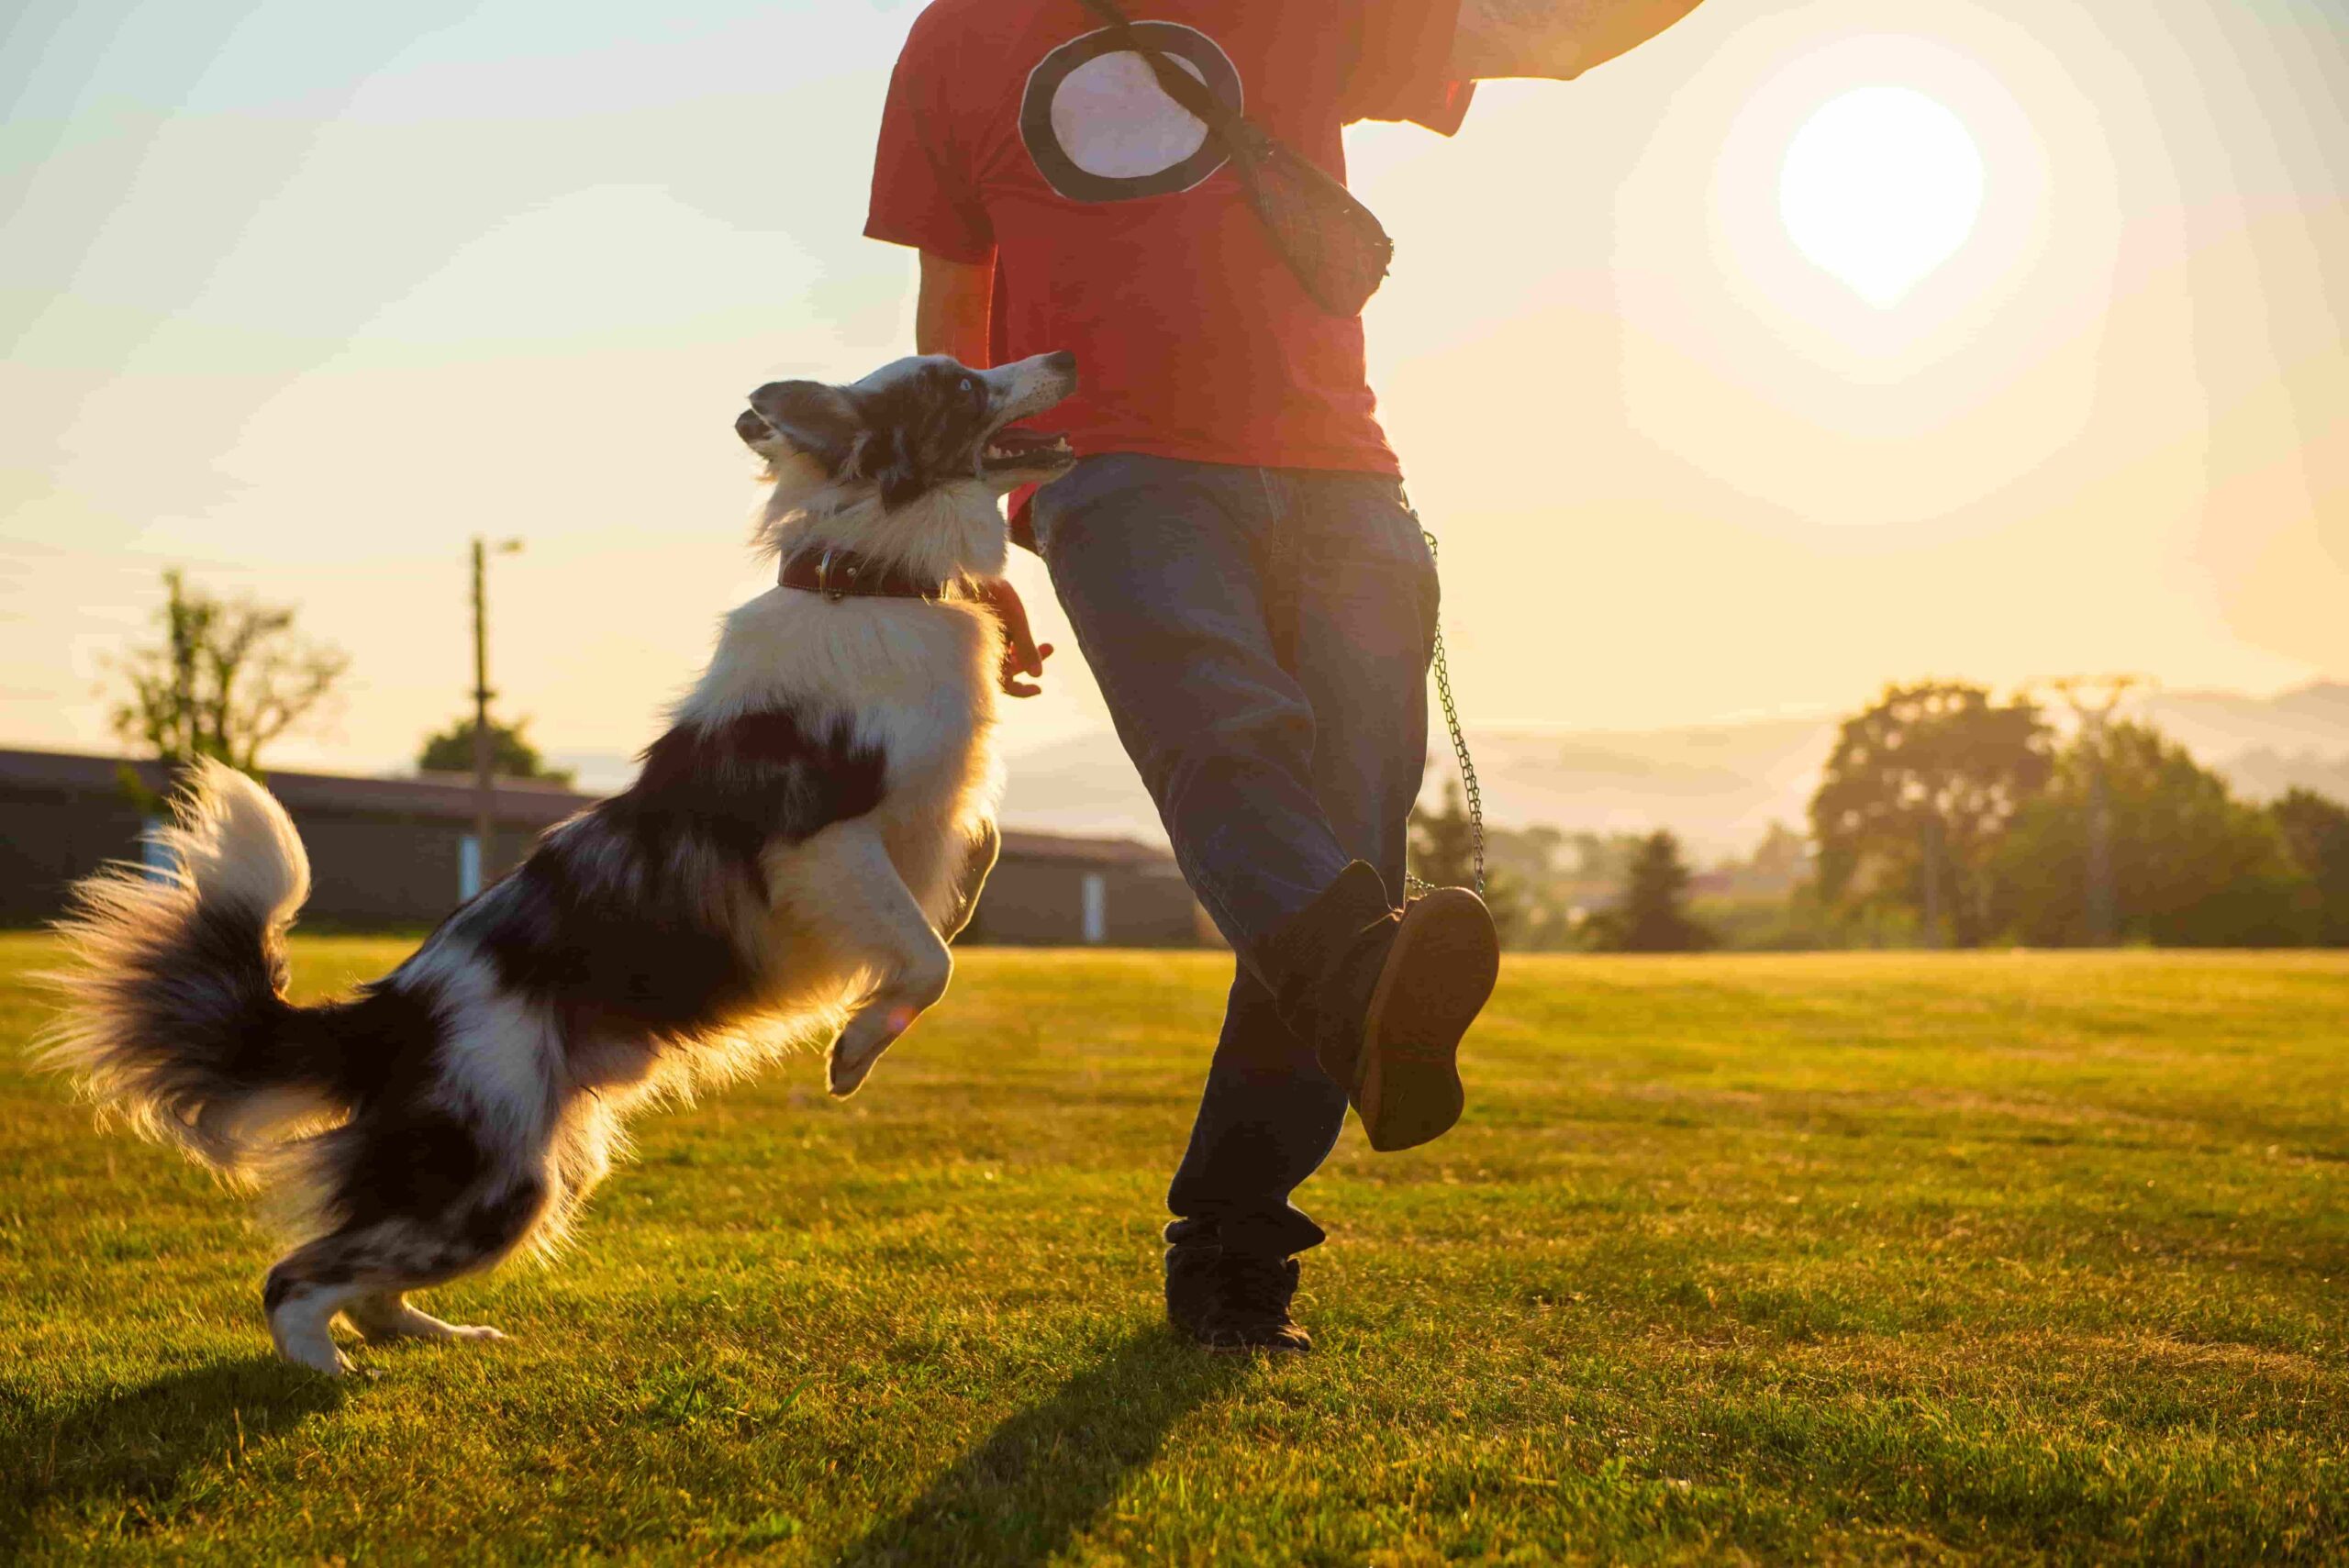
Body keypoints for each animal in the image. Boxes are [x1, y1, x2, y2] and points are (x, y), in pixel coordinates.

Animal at [39, 351, 1080, 1371]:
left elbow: (972, 862)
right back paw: (323, 1374)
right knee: (296, 1276)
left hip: (528, 1167)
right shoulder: (821, 839)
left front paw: (923, 947)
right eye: (957, 384)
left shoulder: (934, 808)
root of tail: (391, 1012)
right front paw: (857, 1045)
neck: (872, 575)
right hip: (488, 1177)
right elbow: (927, 960)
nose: (1066, 356)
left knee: (368, 1285)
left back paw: (439, 1338)